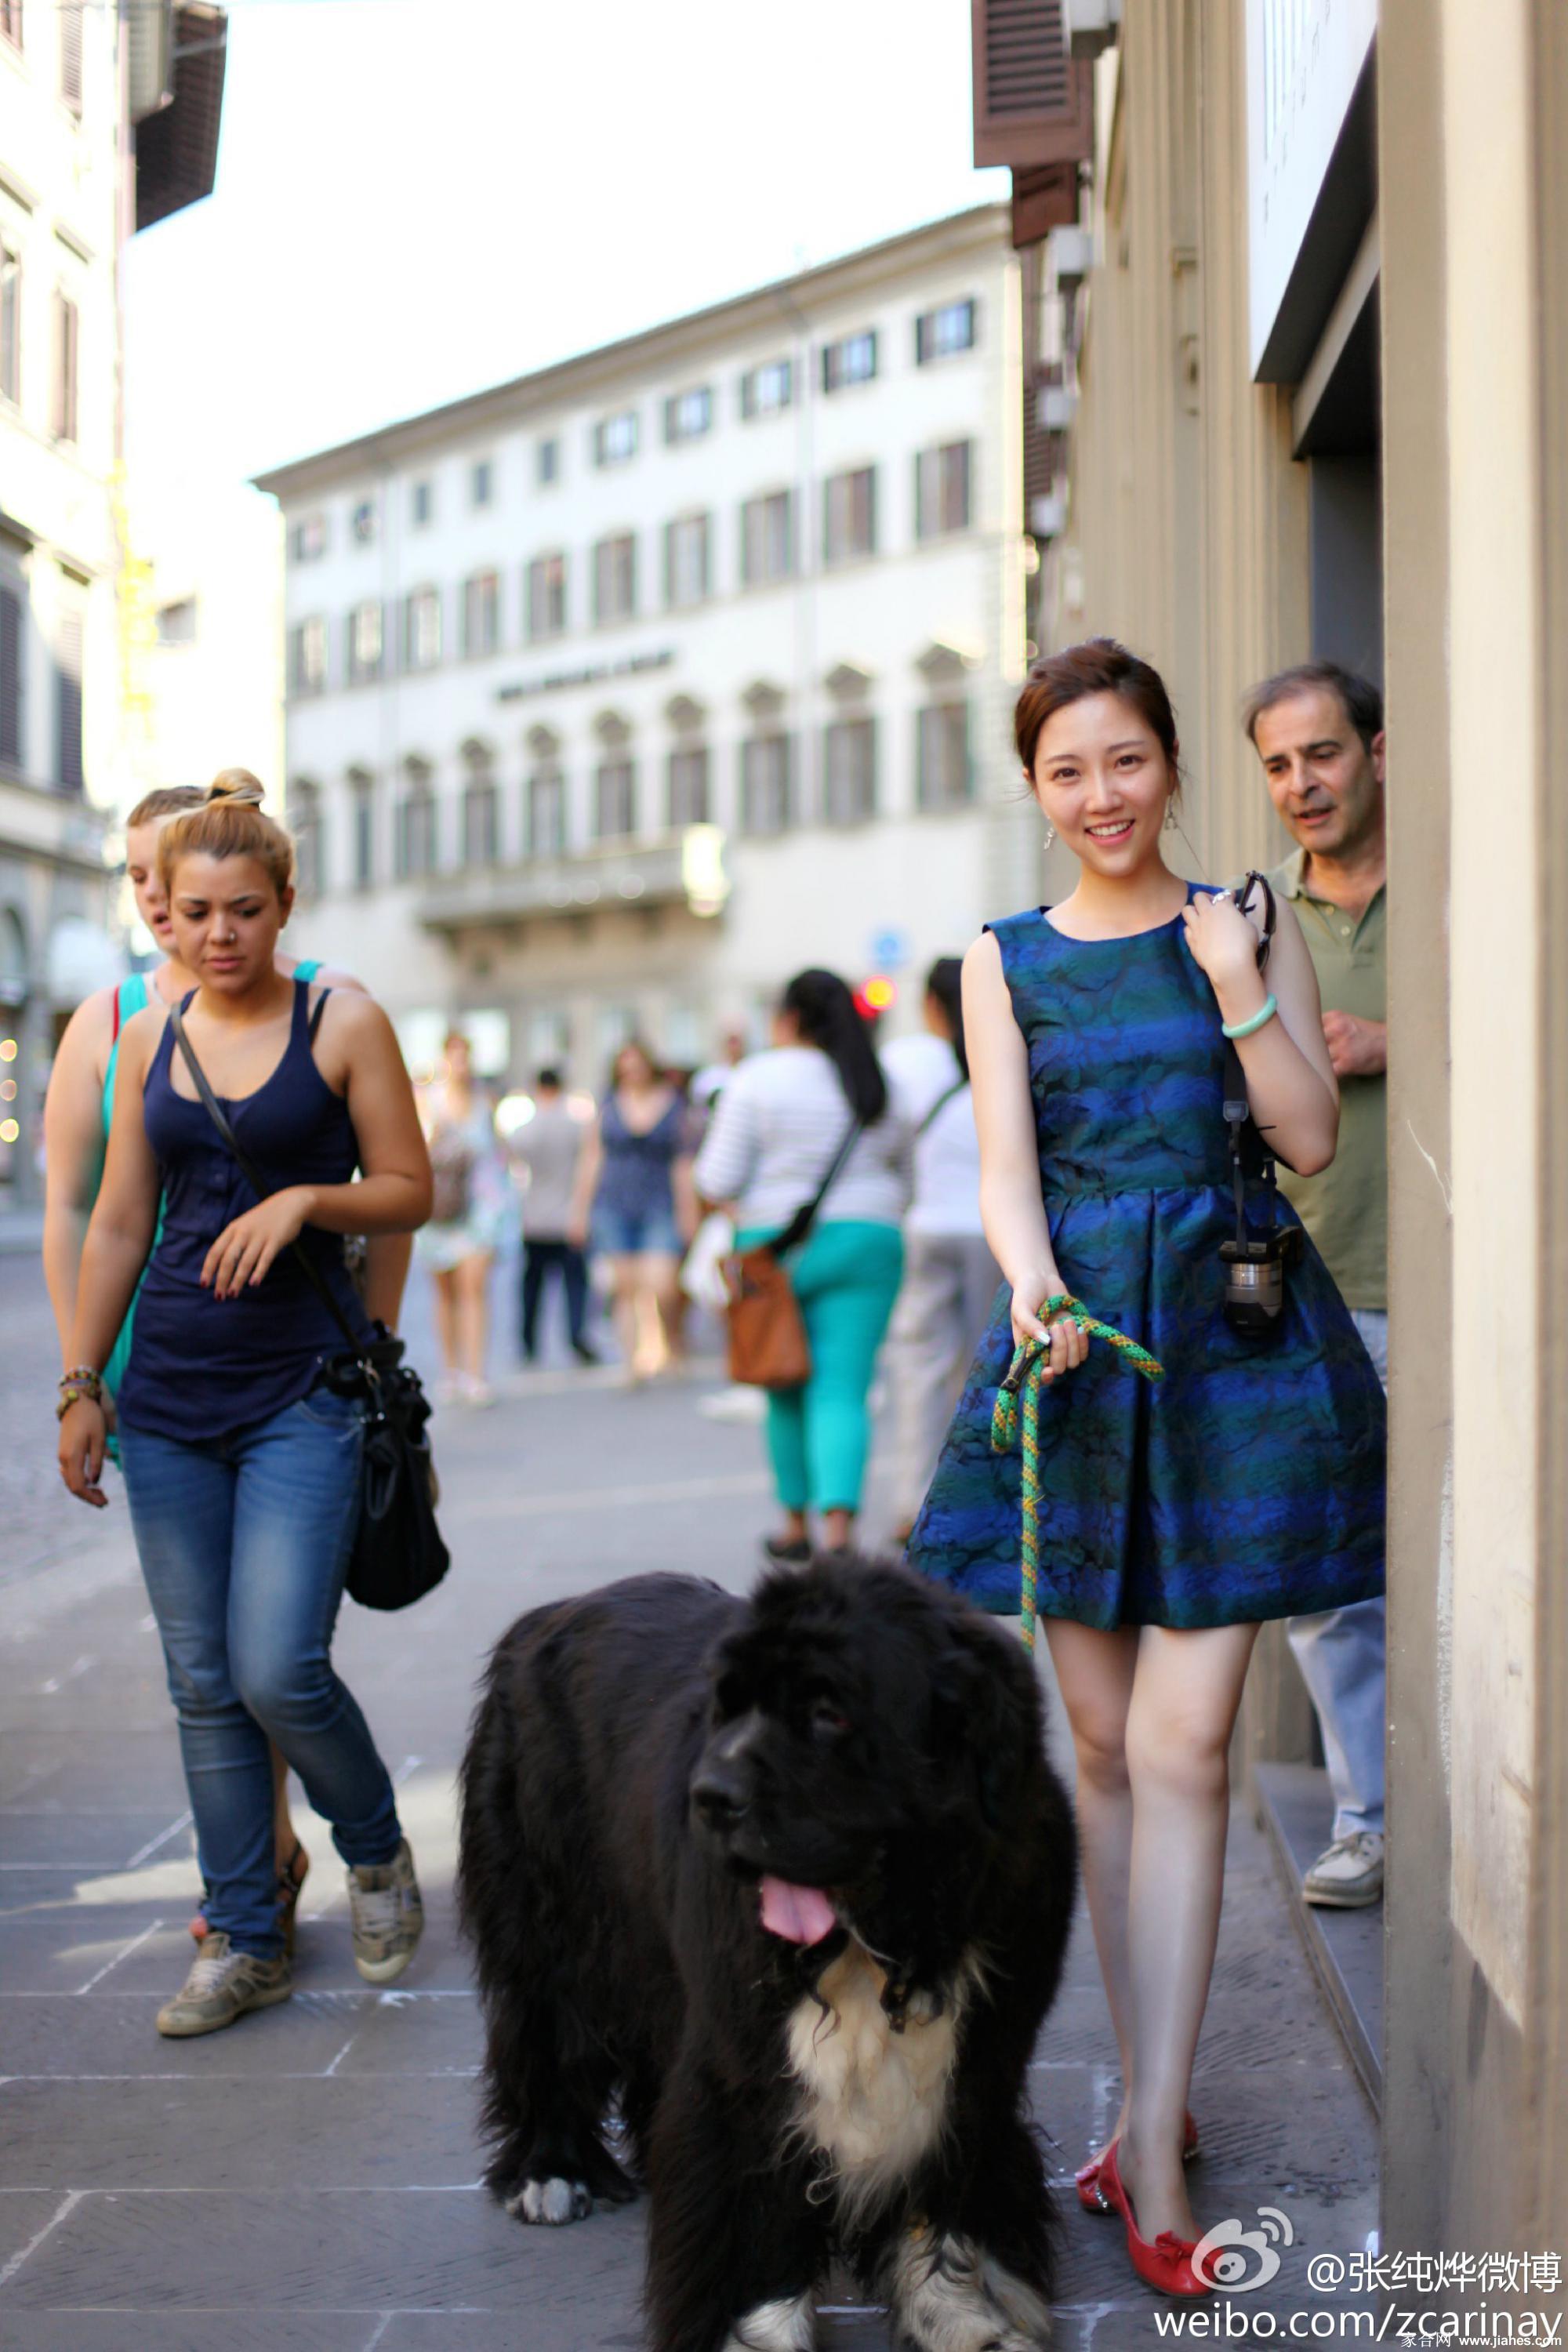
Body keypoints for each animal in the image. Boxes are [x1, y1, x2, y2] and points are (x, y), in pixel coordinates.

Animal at [456, 1562, 1081, 2352]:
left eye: (829, 1713)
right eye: (730, 1708)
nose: (709, 1796)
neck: (882, 1937)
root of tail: (553, 1610)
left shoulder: (976, 2064)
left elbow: (943, 2196)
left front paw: (962, 2320)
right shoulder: (741, 2067)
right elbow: (748, 2206)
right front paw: (757, 2336)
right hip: (555, 1920)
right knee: (546, 2031)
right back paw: (553, 2172)